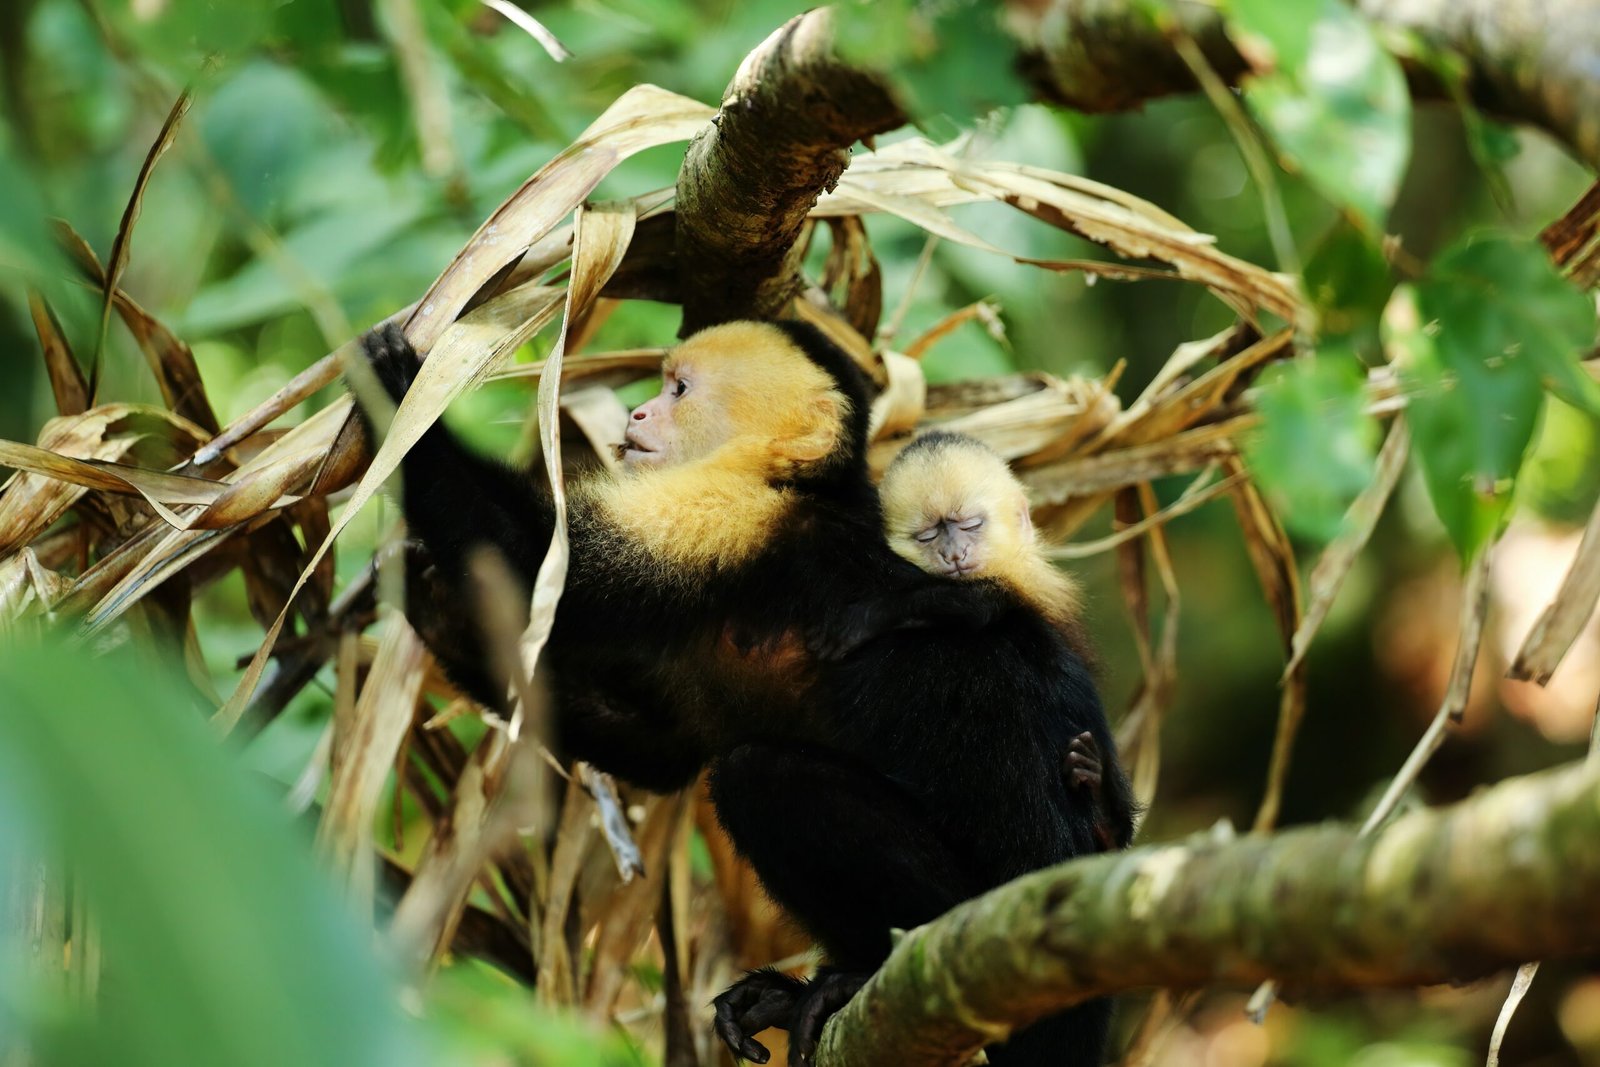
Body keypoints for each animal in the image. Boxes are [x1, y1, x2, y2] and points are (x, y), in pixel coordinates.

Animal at [352, 320, 1122, 1066]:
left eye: (679, 389)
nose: (635, 412)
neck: (793, 482)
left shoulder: (729, 515)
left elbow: (544, 557)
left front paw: (397, 393)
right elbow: (659, 750)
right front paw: (432, 603)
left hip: (977, 912)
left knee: (760, 775)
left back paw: (859, 972)